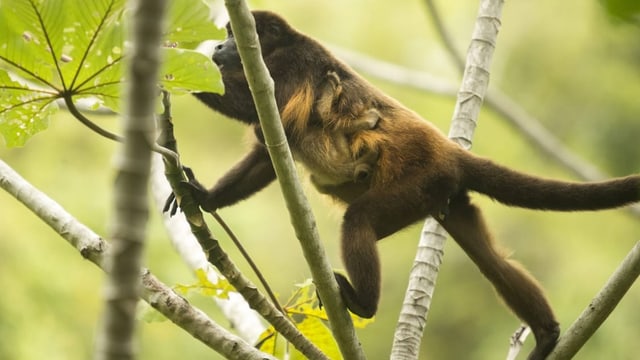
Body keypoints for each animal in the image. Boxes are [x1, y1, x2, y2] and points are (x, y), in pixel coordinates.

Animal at [170, 10, 640, 360]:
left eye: (231, 36)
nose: (217, 48)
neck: (274, 49)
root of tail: (450, 154)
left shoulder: (285, 69)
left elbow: (251, 108)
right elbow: (268, 155)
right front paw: (204, 196)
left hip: (417, 183)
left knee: (360, 220)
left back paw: (363, 303)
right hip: (445, 195)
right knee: (492, 261)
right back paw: (547, 335)